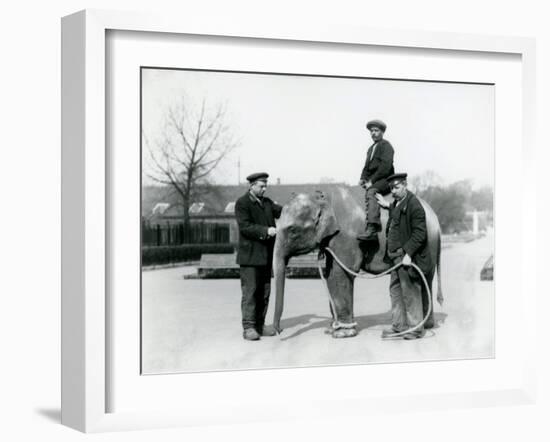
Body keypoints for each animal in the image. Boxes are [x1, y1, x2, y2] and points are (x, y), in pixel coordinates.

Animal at [272, 186, 444, 338]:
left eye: (292, 230)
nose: (279, 331)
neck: (322, 195)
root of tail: (437, 221)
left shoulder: (346, 236)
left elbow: (340, 273)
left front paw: (342, 334)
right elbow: (330, 274)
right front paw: (333, 328)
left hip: (427, 243)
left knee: (419, 278)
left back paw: (417, 329)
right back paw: (418, 327)